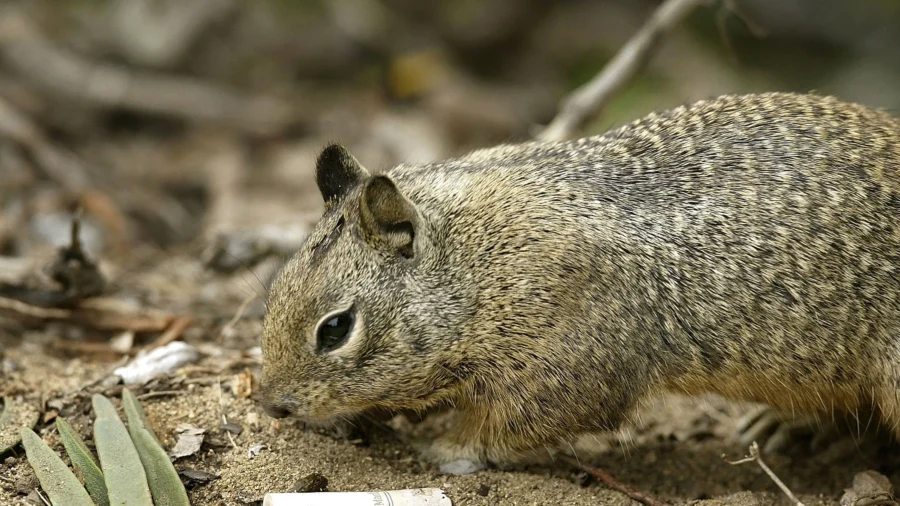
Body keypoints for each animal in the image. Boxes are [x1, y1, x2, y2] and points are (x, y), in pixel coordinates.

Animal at [256, 92, 896, 466]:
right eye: (274, 293)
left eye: (335, 329)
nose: (273, 406)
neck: (475, 264)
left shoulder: (561, 369)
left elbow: (505, 429)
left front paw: (447, 448)